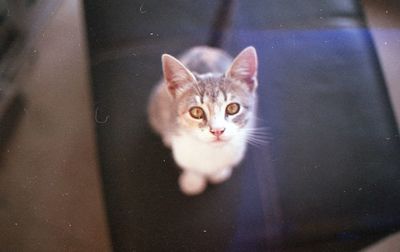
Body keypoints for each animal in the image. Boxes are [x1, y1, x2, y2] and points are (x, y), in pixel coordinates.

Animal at [148, 45, 258, 195]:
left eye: (232, 108)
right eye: (196, 112)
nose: (217, 130)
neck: (210, 152)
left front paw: (218, 173)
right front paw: (193, 180)